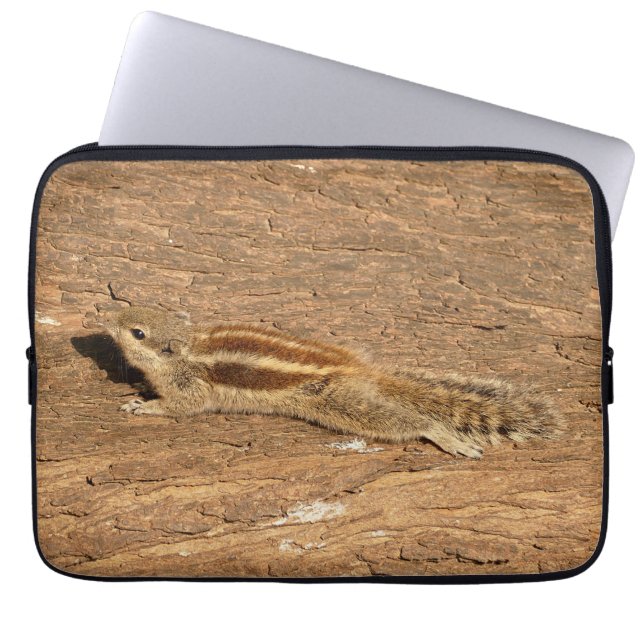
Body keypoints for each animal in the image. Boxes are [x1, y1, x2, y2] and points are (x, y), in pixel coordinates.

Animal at [99, 306, 564, 459]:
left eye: (137, 332)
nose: (105, 317)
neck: (188, 348)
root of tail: (363, 371)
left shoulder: (191, 387)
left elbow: (183, 407)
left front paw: (144, 406)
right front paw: (141, 392)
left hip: (338, 404)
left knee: (410, 422)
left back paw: (444, 436)